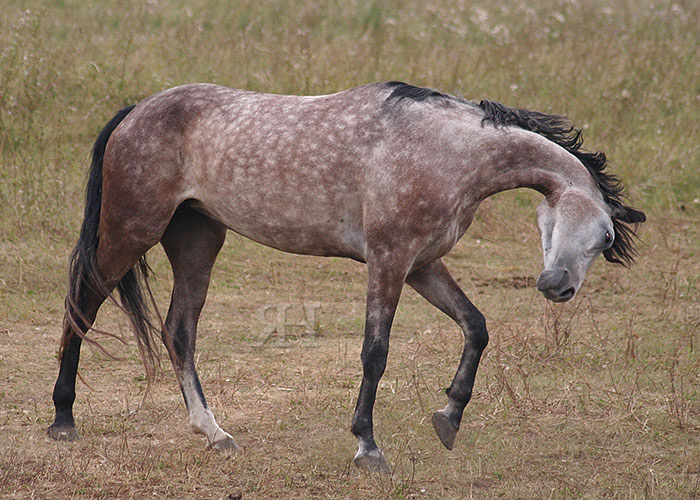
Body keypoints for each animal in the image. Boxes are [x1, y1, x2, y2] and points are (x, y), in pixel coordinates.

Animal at [48, 81, 646, 472]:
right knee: (83, 304)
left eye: (604, 242)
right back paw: (63, 419)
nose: (557, 287)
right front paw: (367, 447)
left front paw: (448, 417)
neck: (447, 151)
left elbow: (476, 327)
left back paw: (214, 433)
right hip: (130, 232)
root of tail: (136, 111)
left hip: (197, 242)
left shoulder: (421, 264)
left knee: (179, 332)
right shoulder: (388, 261)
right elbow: (375, 353)